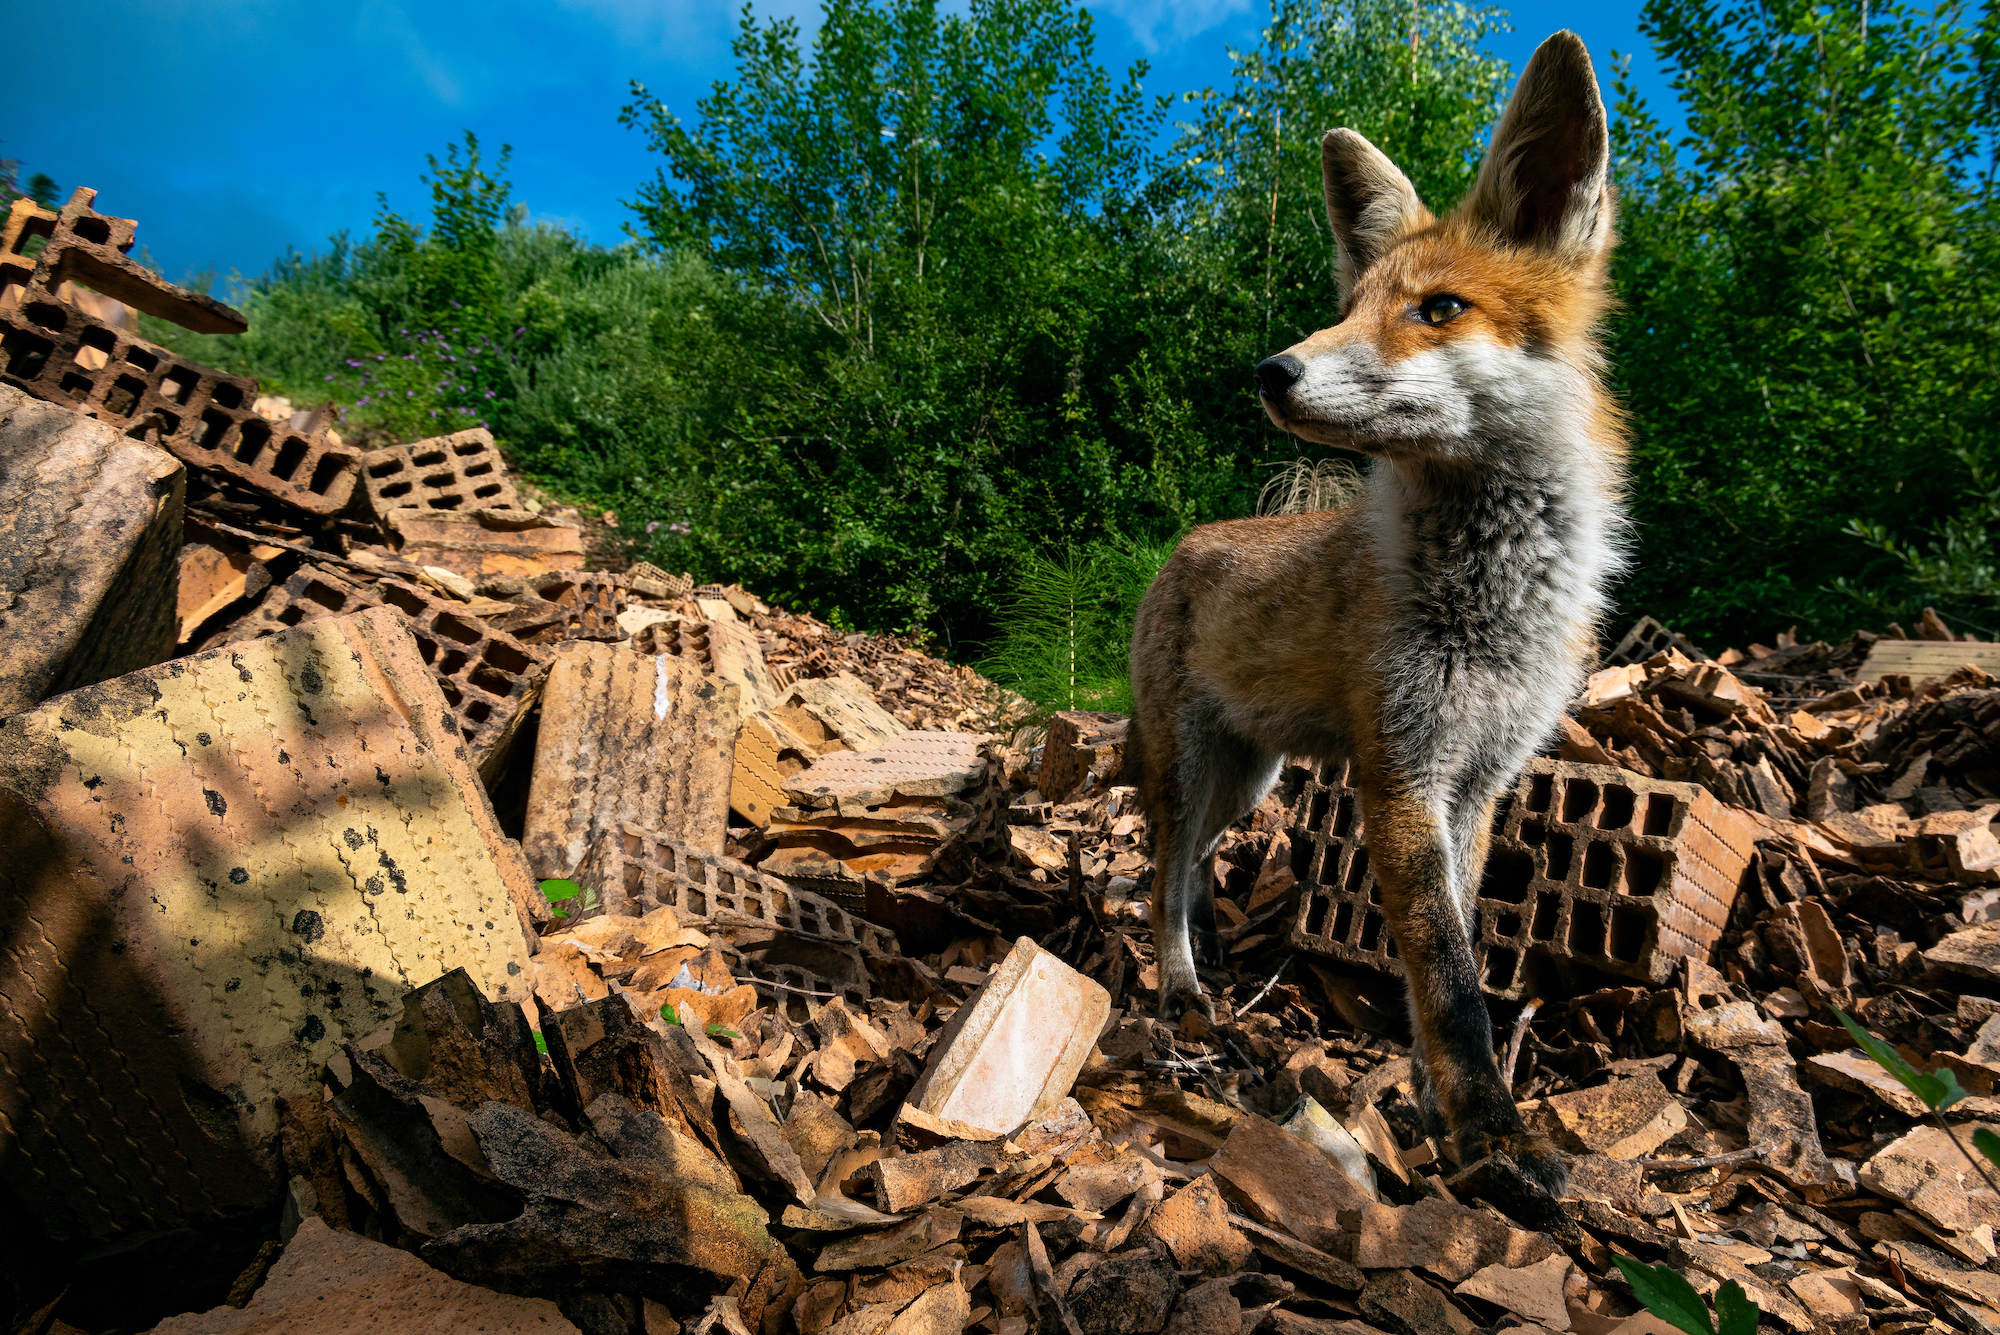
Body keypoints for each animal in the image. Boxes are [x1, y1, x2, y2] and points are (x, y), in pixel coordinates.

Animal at [1128, 33, 1624, 1199]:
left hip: (1249, 780)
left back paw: (1207, 948)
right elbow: (1447, 976)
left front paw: (1436, 1104)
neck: (1492, 607)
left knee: (1187, 865)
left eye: (1437, 308)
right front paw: (1491, 1139)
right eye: (1350, 304)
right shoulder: (1400, 772)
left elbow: (1452, 958)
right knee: (1158, 876)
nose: (1270, 370)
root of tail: (1182, 546)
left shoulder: (1479, 783)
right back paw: (1180, 988)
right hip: (1192, 769)